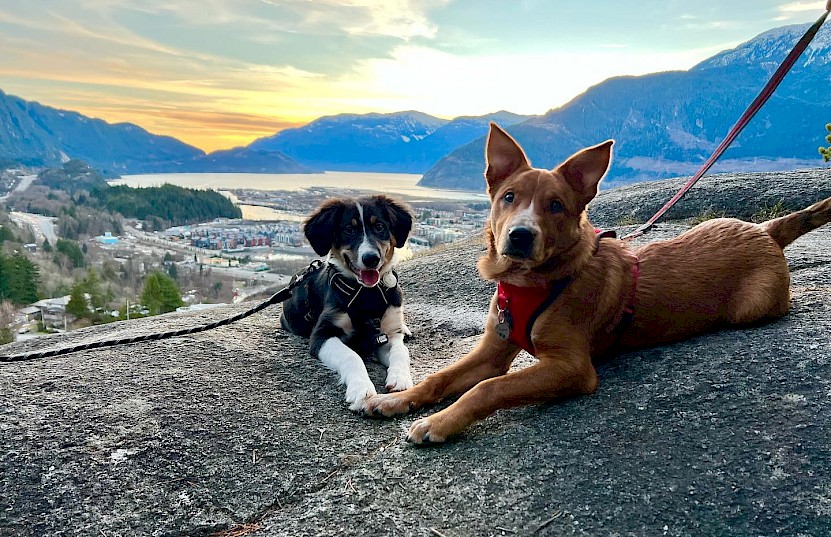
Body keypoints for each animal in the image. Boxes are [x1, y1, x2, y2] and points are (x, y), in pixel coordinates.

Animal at [282, 195, 416, 408]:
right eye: (349, 229)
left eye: (379, 226)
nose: (371, 258)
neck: (366, 294)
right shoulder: (322, 335)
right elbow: (351, 356)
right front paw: (361, 390)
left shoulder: (387, 334)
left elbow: (400, 352)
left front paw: (400, 379)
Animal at [364, 123, 831, 442]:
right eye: (508, 197)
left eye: (556, 205)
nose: (520, 236)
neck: (534, 282)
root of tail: (766, 230)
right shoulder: (492, 351)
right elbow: (441, 378)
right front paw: (396, 400)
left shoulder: (571, 368)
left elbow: (489, 389)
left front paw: (439, 423)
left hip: (750, 308)